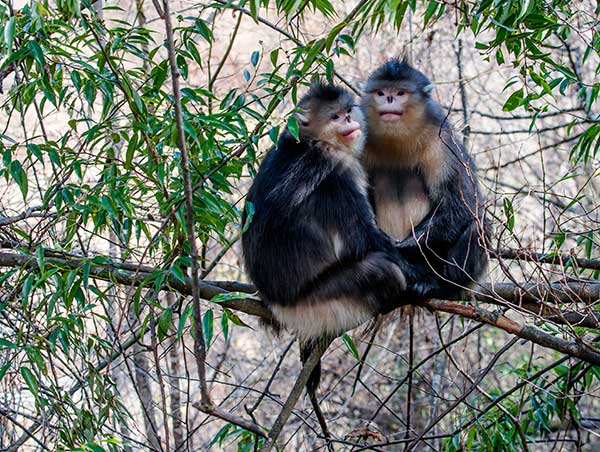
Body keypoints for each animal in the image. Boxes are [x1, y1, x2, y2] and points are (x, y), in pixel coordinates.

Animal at [240, 83, 408, 436]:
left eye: (347, 112)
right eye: (335, 117)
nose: (350, 122)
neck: (309, 143)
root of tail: (278, 303)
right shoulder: (339, 172)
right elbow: (368, 241)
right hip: (322, 300)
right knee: (385, 272)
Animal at [360, 60, 488, 300]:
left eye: (400, 93)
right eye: (381, 92)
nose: (388, 99)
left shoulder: (442, 142)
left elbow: (461, 206)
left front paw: (400, 247)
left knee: (478, 225)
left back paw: (439, 287)